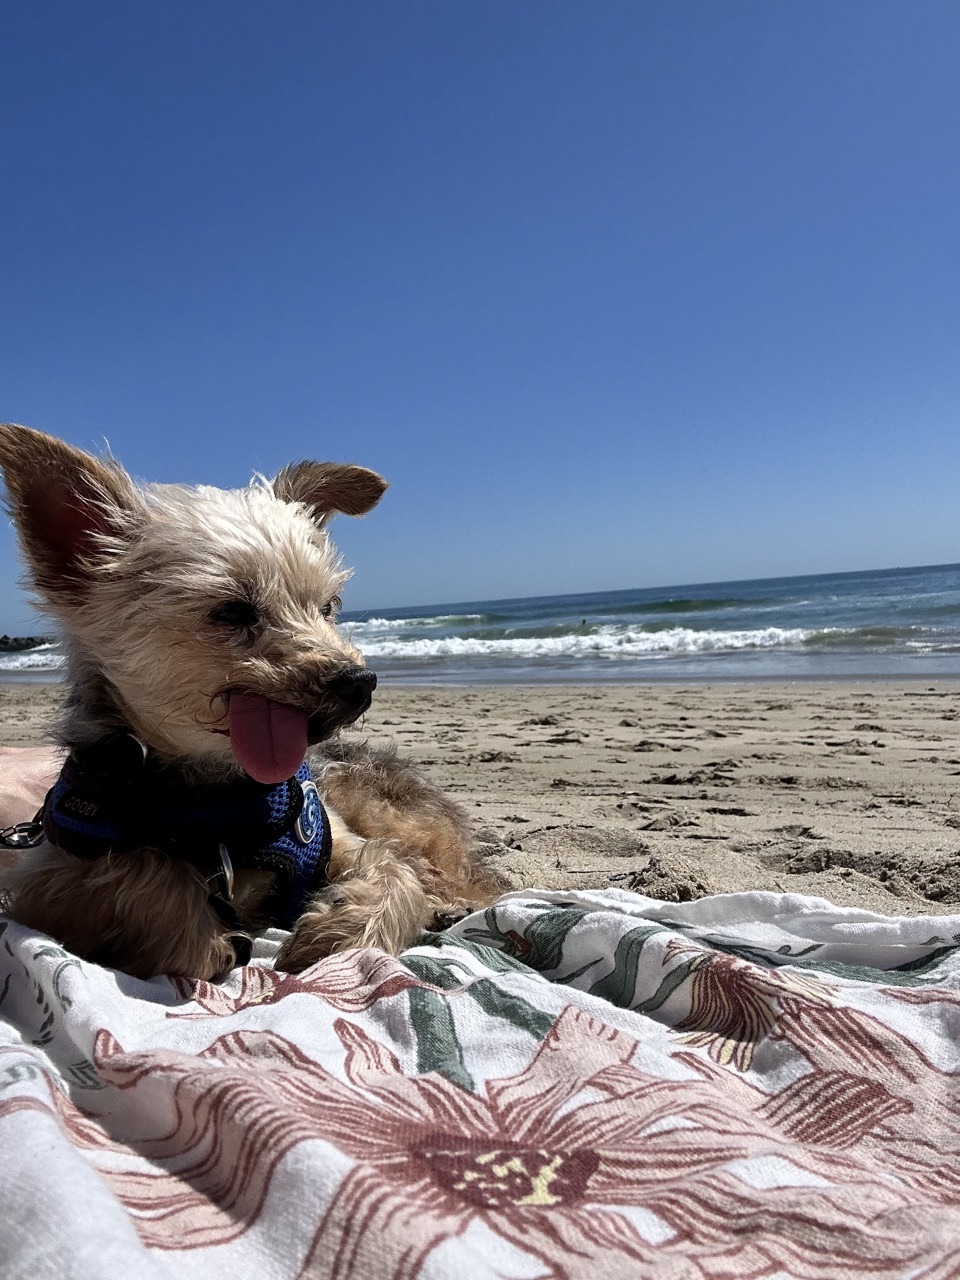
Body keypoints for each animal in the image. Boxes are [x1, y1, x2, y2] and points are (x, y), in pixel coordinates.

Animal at [0, 424, 499, 972]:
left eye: (329, 607)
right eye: (233, 612)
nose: (360, 681)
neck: (222, 801)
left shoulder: (334, 837)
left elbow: (392, 868)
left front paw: (340, 934)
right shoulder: (49, 878)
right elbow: (149, 865)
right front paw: (197, 937)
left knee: (460, 872)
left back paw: (451, 901)